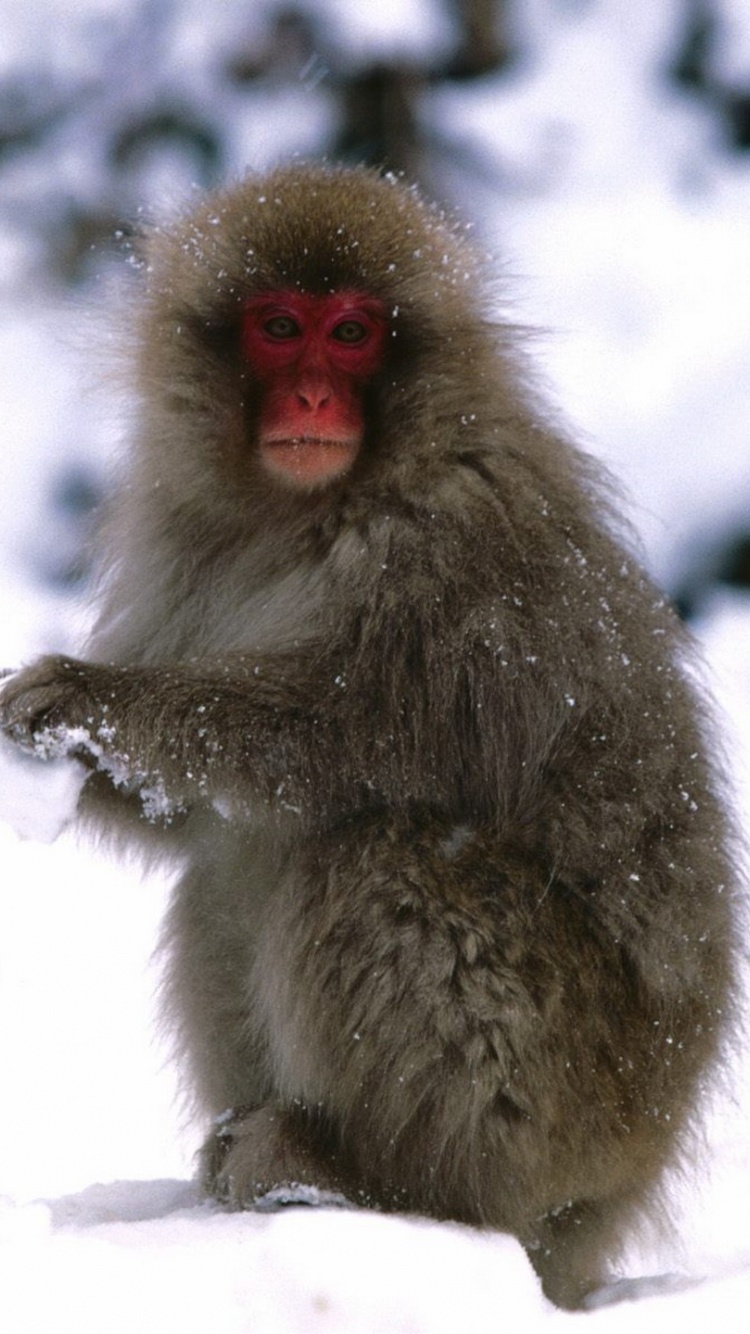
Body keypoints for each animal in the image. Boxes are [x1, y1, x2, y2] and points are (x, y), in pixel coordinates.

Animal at [0, 164, 736, 1301]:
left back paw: (380, 1184)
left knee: (375, 854)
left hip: (567, 1108)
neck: (303, 513)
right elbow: (190, 818)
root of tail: (622, 1193)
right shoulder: (182, 537)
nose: (312, 397)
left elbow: (323, 739)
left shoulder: (450, 567)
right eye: (278, 326)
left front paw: (85, 699)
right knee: (226, 873)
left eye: (350, 333)